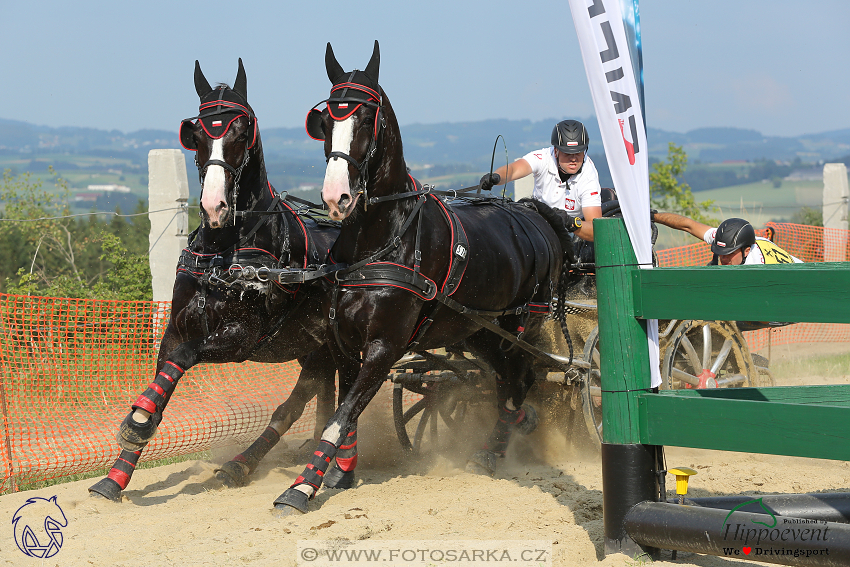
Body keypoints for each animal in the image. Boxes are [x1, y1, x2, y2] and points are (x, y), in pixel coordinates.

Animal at [86, 57, 338, 502]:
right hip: (314, 346)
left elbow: (185, 358)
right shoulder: (176, 326)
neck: (224, 251)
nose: (214, 204)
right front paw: (116, 474)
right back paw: (258, 460)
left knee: (304, 401)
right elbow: (165, 374)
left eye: (241, 129)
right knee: (312, 394)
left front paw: (135, 424)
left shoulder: (240, 335)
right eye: (198, 132)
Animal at [274, 42, 568, 516]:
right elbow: (346, 413)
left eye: (365, 117)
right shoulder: (344, 343)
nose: (337, 198)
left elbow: (340, 417)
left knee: (520, 379)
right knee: (503, 380)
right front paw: (342, 474)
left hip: (521, 326)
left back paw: (495, 447)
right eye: (325, 122)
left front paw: (302, 486)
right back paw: (509, 430)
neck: (382, 234)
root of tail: (535, 214)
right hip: (476, 330)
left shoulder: (385, 346)